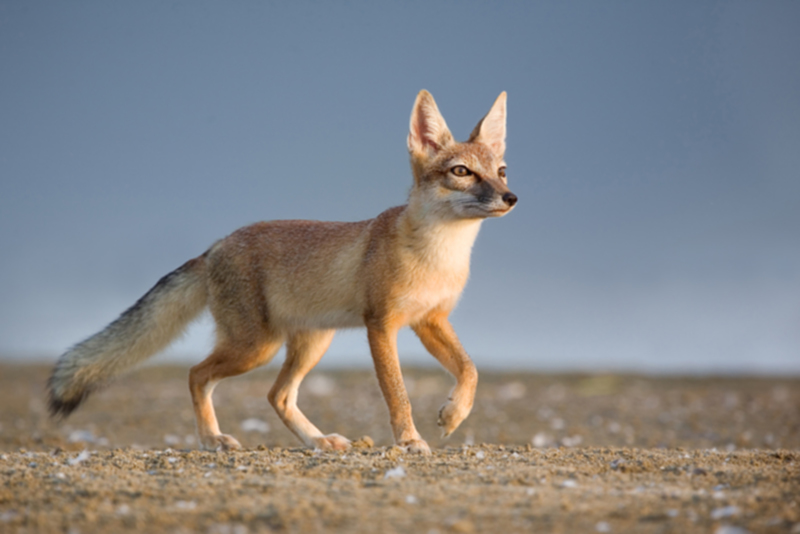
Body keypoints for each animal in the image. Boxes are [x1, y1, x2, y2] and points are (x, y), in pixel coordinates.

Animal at [48, 90, 520, 454]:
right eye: (461, 172)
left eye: (500, 172)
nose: (510, 197)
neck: (438, 256)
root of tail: (215, 246)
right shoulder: (381, 325)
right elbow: (397, 394)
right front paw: (408, 440)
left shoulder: (430, 320)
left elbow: (470, 370)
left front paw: (453, 415)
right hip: (256, 347)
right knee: (197, 374)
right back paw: (212, 439)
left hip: (310, 344)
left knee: (277, 395)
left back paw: (317, 442)